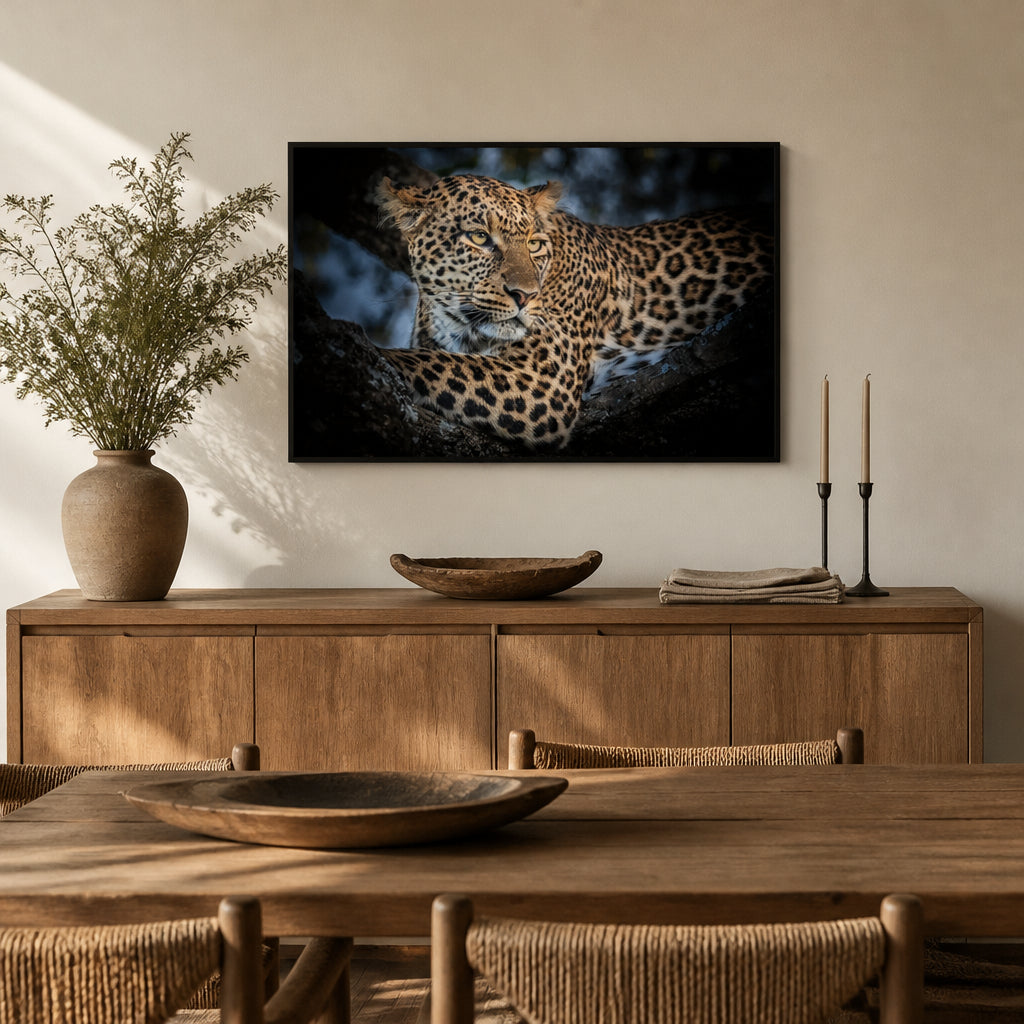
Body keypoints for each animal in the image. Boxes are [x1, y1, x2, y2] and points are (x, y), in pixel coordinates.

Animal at [375, 172, 773, 451]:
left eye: (534, 244)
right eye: (478, 238)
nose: (526, 296)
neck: (457, 324)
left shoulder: (542, 382)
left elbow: (425, 362)